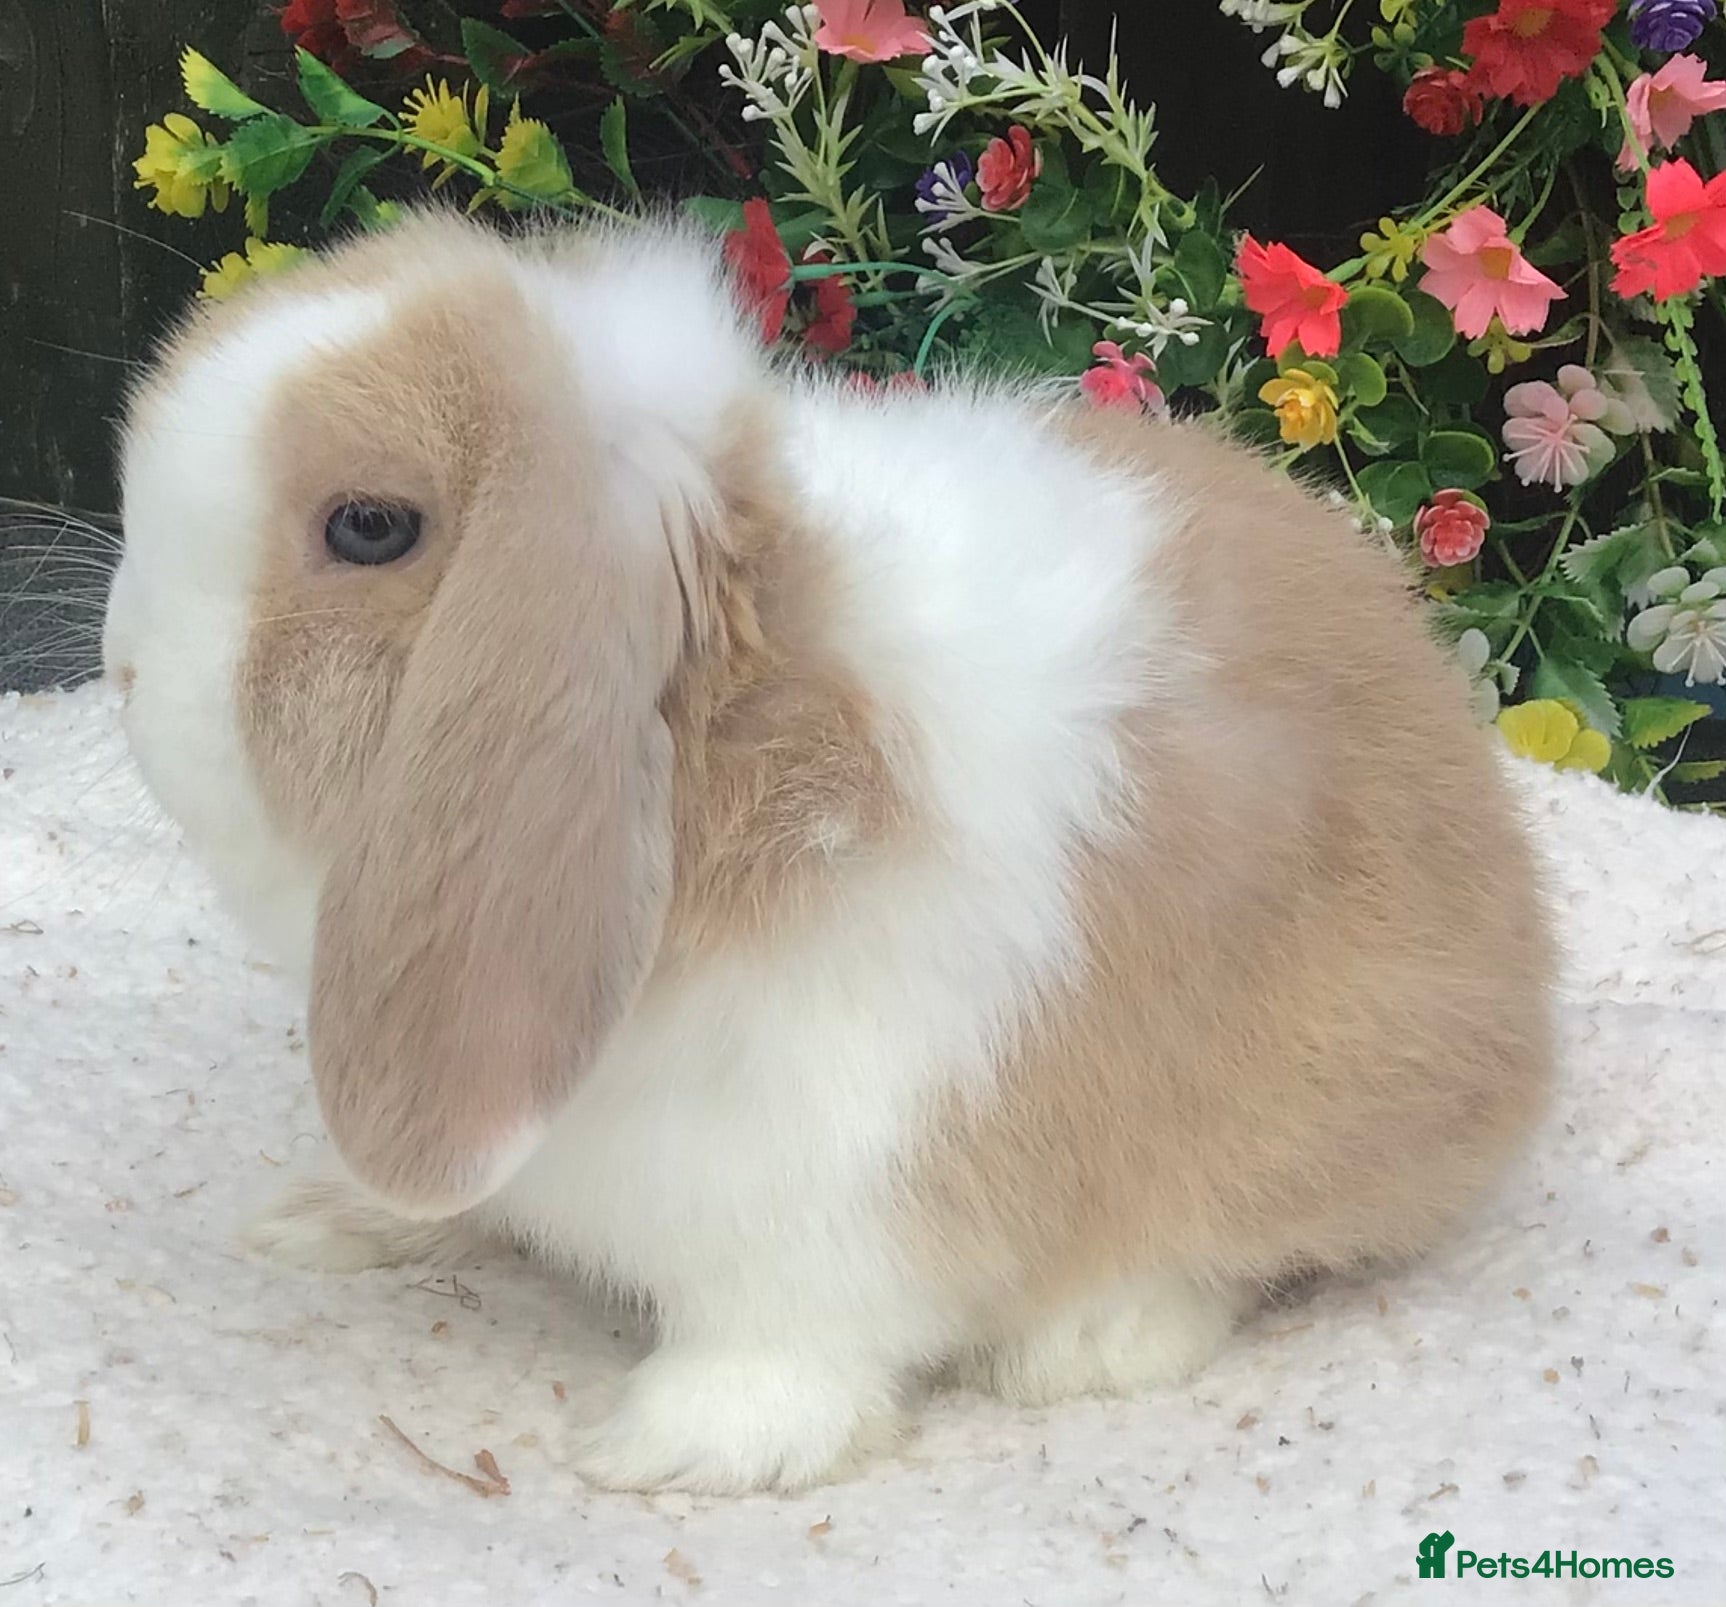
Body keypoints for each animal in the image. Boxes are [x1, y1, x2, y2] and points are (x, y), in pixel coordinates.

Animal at [103, 210, 1554, 1495]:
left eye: (368, 526)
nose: (117, 661)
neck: (731, 746)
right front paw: (322, 1217)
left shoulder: (843, 1158)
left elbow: (787, 1326)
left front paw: (673, 1443)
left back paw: (1089, 1337)